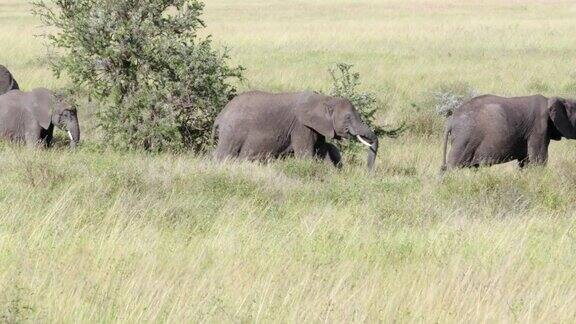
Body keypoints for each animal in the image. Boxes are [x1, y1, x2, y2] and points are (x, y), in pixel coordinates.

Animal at [214, 90, 380, 168]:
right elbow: (305, 155)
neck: (325, 99)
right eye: (348, 118)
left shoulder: (316, 127)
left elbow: (322, 150)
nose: (368, 173)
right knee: (224, 155)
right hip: (232, 132)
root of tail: (220, 116)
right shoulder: (301, 126)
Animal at [440, 93, 576, 170]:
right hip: (464, 138)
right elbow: (538, 160)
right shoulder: (539, 128)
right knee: (453, 166)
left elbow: (525, 162)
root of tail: (451, 120)